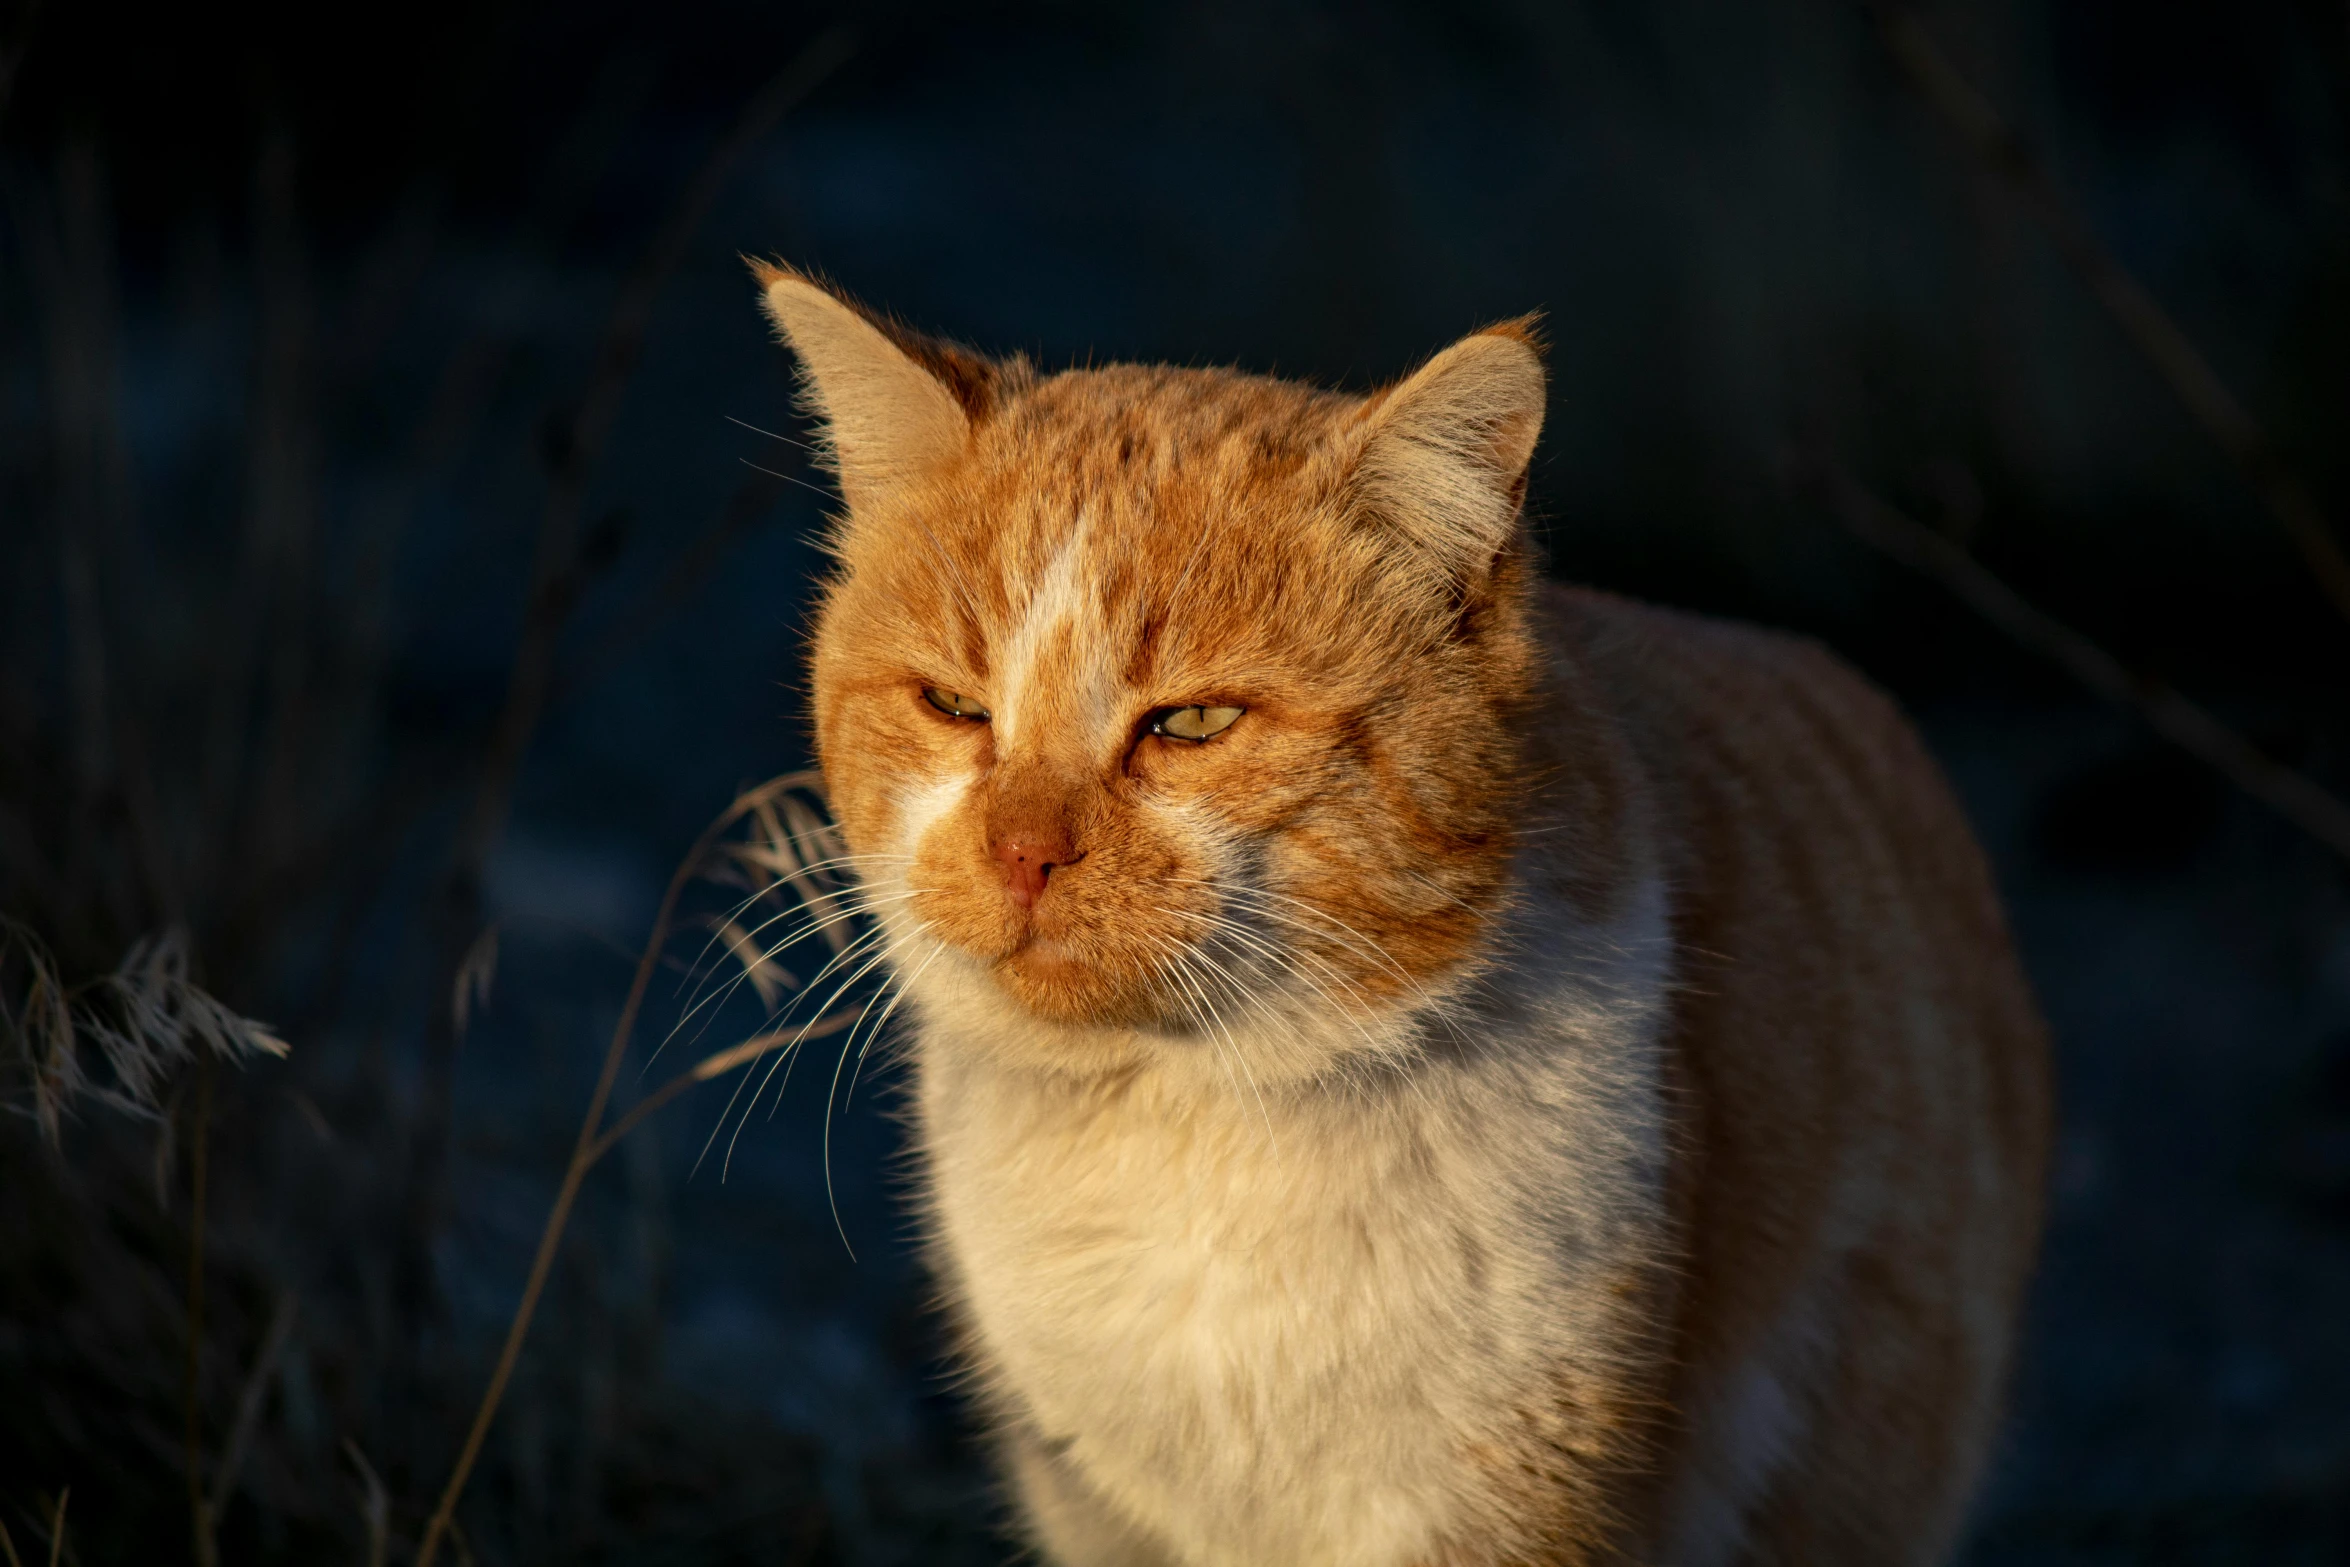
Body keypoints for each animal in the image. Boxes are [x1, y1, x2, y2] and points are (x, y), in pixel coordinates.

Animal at [756, 263, 2058, 1559]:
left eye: (1192, 724)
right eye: (951, 706)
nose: (1022, 850)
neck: (1191, 1121)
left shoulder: (1502, 1496)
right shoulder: (1099, 1507)